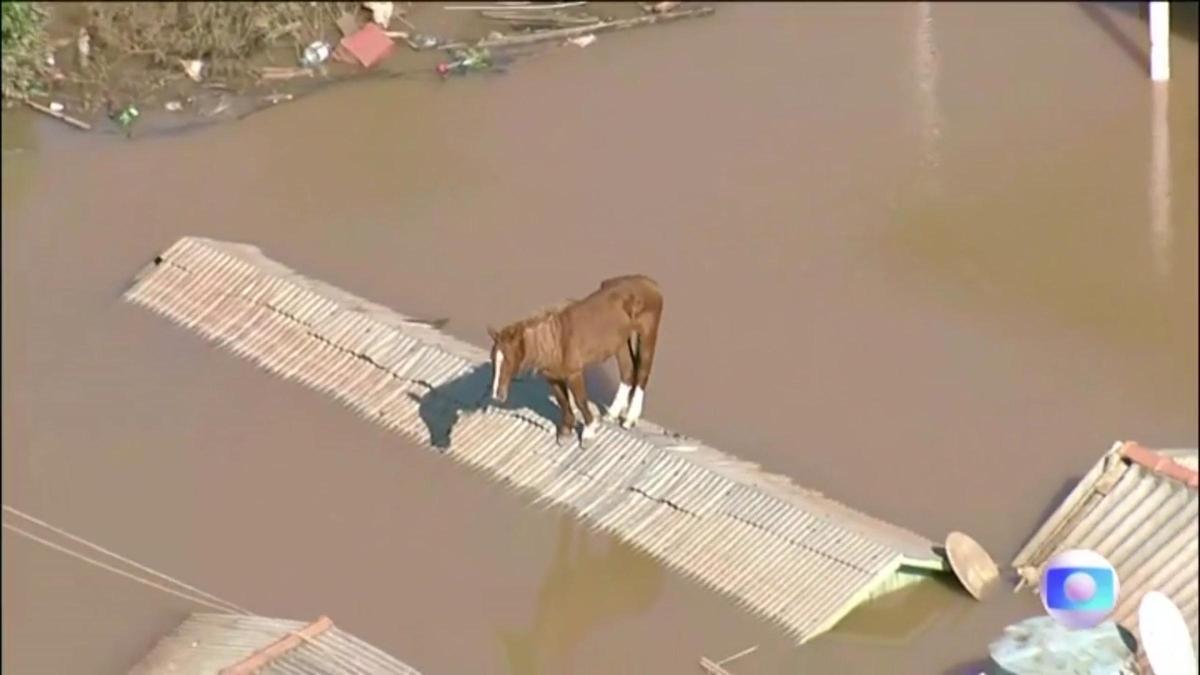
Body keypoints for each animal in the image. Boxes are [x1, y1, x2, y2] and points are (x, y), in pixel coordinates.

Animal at [487, 275, 663, 448]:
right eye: (493, 358)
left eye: (509, 359)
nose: (496, 395)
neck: (555, 340)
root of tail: (651, 283)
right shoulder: (553, 378)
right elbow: (563, 402)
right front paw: (565, 432)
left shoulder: (574, 374)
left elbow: (580, 401)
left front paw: (588, 432)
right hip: (620, 342)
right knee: (627, 371)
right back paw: (612, 414)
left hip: (647, 334)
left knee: (642, 373)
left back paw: (629, 419)